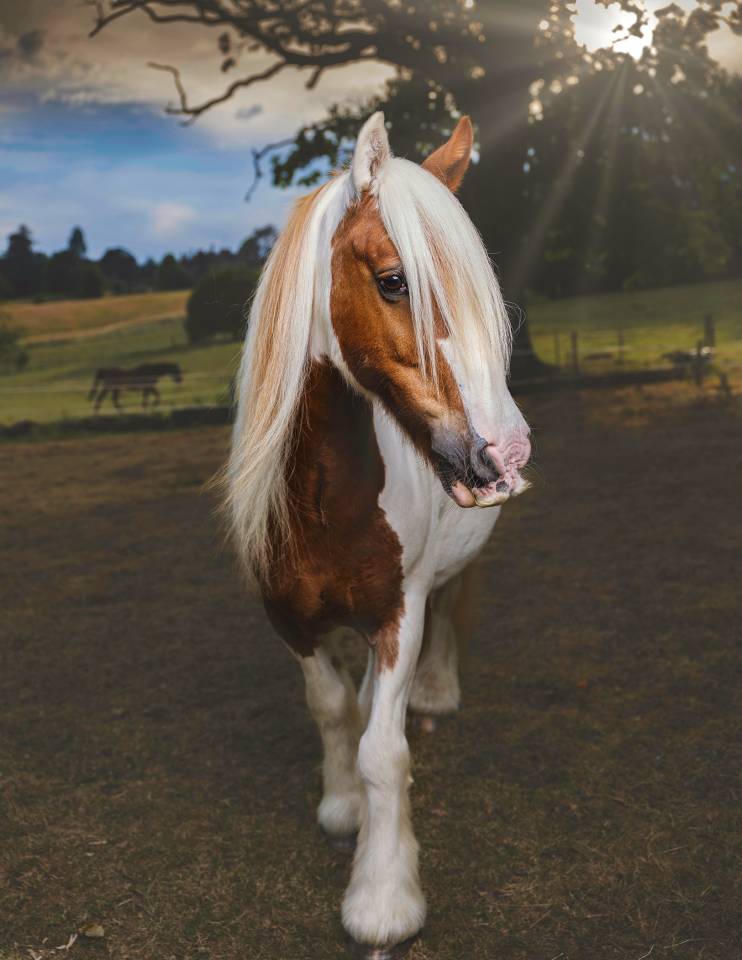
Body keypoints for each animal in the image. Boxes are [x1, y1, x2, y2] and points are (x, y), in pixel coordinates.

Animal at [226, 113, 531, 958]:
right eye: (394, 281)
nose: (506, 453)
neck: (327, 498)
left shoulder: (399, 614)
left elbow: (383, 751)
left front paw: (384, 897)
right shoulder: (288, 619)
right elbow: (333, 709)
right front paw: (341, 811)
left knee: (454, 607)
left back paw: (437, 691)